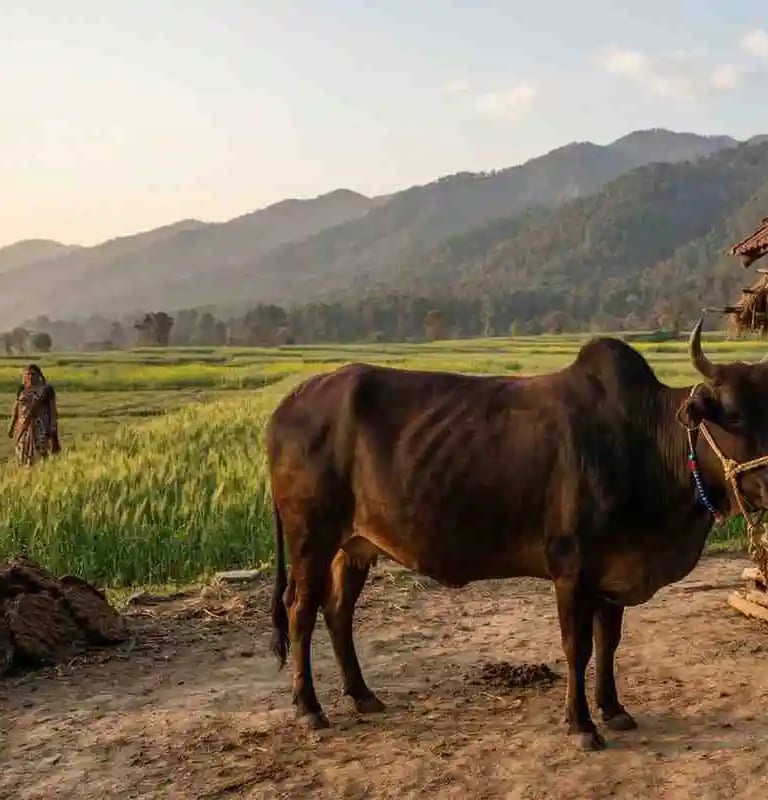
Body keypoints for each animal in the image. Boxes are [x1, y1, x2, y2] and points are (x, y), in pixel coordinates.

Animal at [266, 317, 768, 750]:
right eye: (733, 414)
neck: (643, 444)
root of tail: (288, 403)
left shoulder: (615, 573)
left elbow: (609, 642)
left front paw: (613, 709)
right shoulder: (571, 570)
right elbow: (577, 647)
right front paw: (582, 724)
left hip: (354, 546)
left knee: (338, 612)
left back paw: (362, 695)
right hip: (310, 539)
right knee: (301, 612)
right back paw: (309, 709)